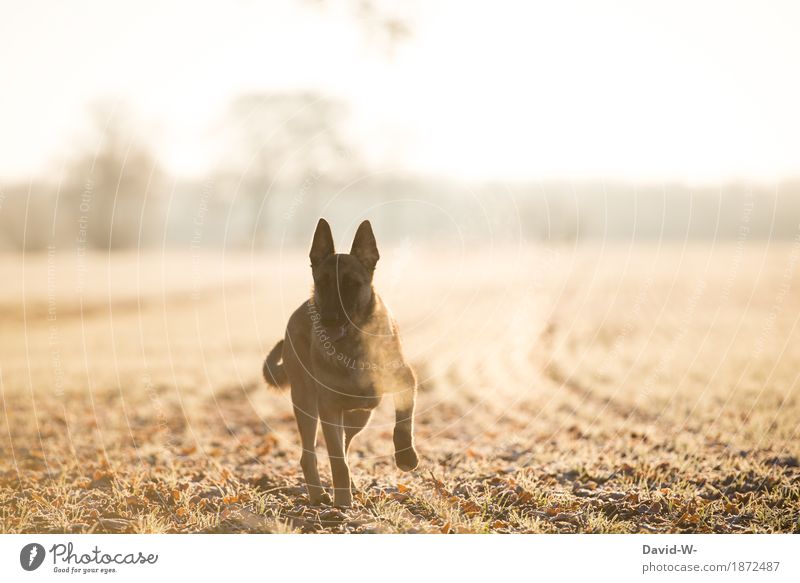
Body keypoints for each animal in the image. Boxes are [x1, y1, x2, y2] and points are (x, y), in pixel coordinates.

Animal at [266, 219, 422, 506]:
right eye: (322, 283)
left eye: (351, 284)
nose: (329, 320)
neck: (354, 345)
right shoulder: (329, 408)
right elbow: (337, 460)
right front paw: (342, 503)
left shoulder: (406, 381)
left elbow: (403, 423)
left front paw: (406, 456)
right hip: (308, 405)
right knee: (311, 455)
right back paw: (319, 494)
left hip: (359, 415)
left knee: (345, 444)